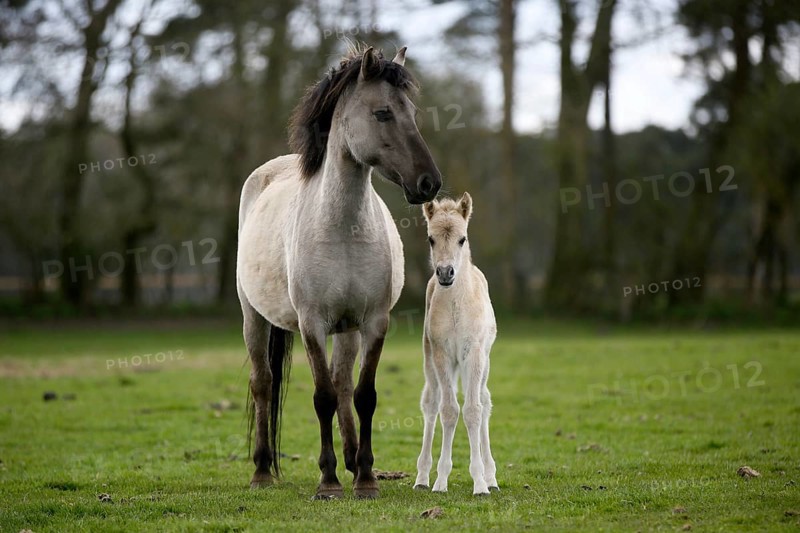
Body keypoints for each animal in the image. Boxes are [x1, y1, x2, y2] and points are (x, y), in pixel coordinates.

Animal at [236, 45, 442, 500]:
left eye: (413, 113)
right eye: (382, 113)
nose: (429, 183)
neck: (343, 228)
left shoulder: (374, 322)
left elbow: (363, 395)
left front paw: (365, 478)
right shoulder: (312, 324)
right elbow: (322, 397)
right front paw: (327, 481)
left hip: (347, 329)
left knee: (344, 380)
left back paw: (351, 460)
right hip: (253, 317)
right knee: (263, 383)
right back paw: (261, 470)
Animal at [413, 193, 499, 495]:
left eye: (463, 238)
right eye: (430, 239)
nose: (445, 273)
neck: (455, 306)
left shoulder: (474, 354)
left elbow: (473, 411)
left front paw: (480, 484)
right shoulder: (441, 355)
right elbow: (448, 411)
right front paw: (440, 481)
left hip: (485, 362)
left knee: (484, 401)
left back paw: (492, 477)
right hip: (429, 360)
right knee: (431, 403)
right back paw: (422, 477)